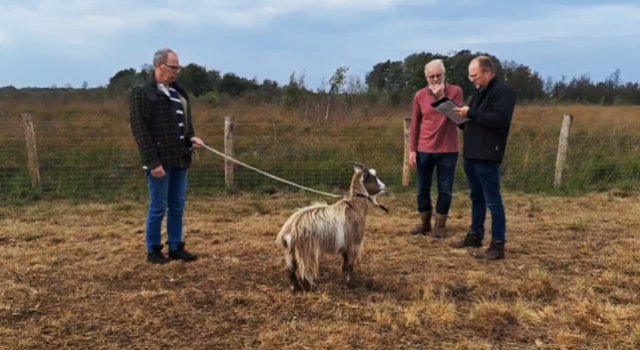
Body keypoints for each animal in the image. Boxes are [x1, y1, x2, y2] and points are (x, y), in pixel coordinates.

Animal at [274, 163, 388, 292]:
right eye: (372, 177)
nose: (384, 187)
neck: (354, 207)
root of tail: (287, 231)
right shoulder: (354, 243)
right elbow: (351, 263)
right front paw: (352, 284)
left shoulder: (346, 243)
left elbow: (345, 259)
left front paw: (344, 273)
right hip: (306, 249)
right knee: (303, 271)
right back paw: (308, 288)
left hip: (292, 251)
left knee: (291, 269)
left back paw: (295, 288)